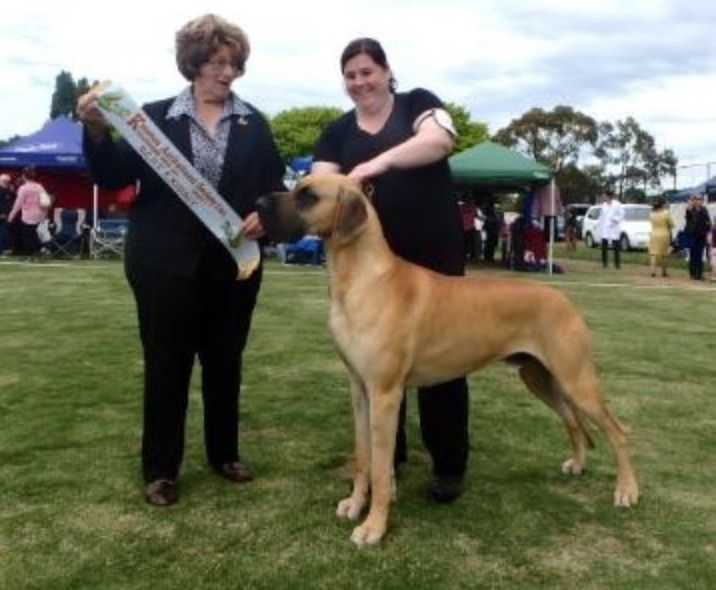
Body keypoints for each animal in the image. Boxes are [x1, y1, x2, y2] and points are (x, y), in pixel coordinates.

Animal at [256, 173, 639, 547]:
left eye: (308, 195)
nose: (258, 203)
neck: (361, 278)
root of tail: (564, 299)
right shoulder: (360, 391)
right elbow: (363, 457)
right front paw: (354, 503)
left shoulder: (384, 394)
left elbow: (380, 468)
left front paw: (374, 527)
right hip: (540, 377)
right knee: (572, 421)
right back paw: (577, 464)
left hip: (576, 380)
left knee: (618, 431)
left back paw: (626, 491)